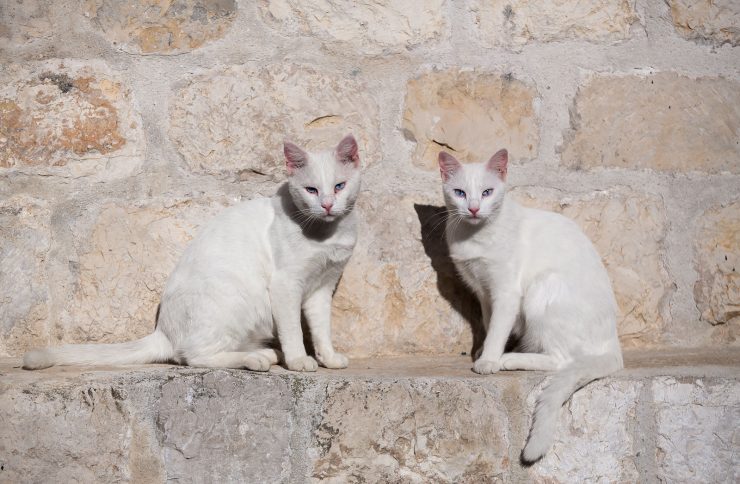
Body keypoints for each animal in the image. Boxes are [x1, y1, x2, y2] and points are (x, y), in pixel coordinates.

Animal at [26, 134, 364, 372]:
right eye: (311, 190)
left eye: (339, 186)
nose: (327, 205)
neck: (327, 235)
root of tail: (163, 331)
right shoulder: (286, 285)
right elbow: (293, 328)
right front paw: (298, 360)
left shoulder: (322, 286)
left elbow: (321, 329)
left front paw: (327, 357)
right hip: (233, 296)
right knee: (194, 356)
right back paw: (257, 359)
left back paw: (266, 352)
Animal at [440, 149, 624, 464]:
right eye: (460, 193)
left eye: (487, 192)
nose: (474, 208)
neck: (475, 236)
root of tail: (613, 346)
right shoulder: (483, 291)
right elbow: (489, 324)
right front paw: (482, 350)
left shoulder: (506, 292)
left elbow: (498, 329)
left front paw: (489, 359)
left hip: (543, 287)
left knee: (562, 360)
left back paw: (510, 359)